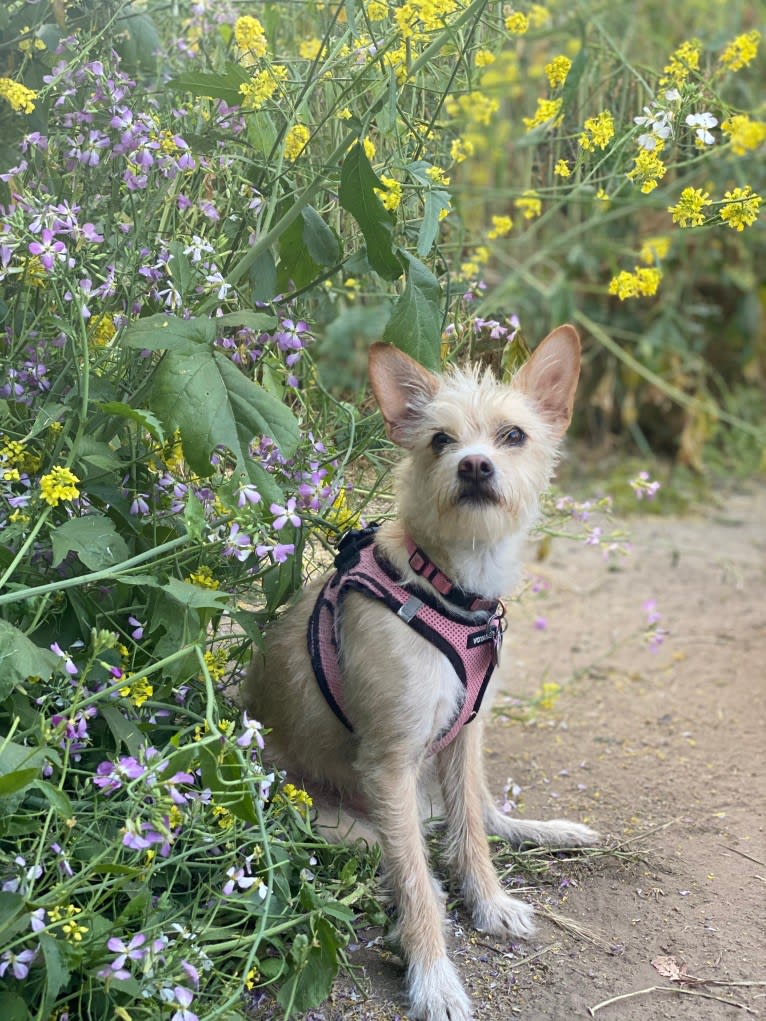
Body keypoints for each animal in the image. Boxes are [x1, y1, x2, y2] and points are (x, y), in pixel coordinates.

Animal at [246, 324, 600, 1021]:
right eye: (441, 440)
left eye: (512, 435)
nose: (474, 465)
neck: (449, 586)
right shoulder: (390, 763)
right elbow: (411, 872)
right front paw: (434, 977)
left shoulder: (464, 739)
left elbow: (472, 835)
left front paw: (488, 902)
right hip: (348, 822)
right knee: (407, 860)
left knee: (481, 818)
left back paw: (550, 830)